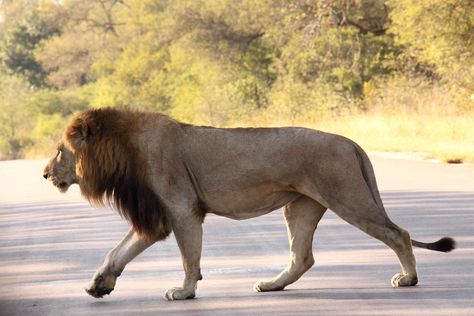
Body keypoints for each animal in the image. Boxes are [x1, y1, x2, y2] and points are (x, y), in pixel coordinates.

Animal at [44, 107, 456, 300]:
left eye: (60, 151)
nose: (45, 174)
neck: (122, 151)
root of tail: (350, 141)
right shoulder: (157, 217)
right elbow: (117, 251)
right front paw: (99, 285)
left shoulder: (181, 208)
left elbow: (188, 258)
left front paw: (185, 292)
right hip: (300, 207)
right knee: (302, 257)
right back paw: (272, 285)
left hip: (348, 197)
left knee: (399, 234)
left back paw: (409, 278)